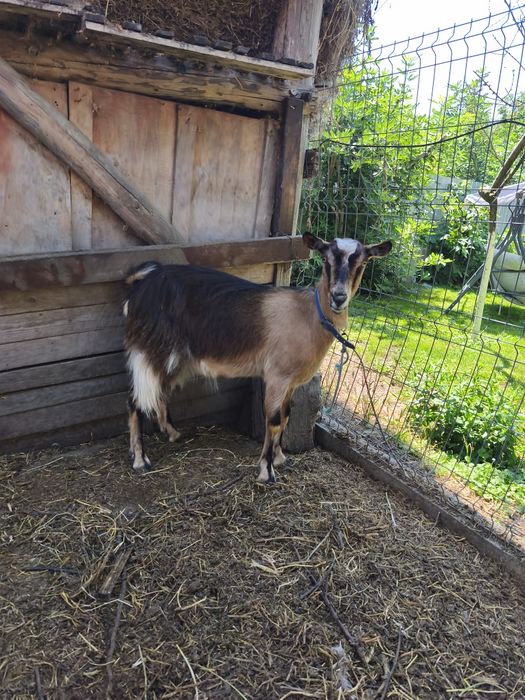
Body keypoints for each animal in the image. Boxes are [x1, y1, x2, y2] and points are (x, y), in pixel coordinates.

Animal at [123, 233, 392, 483]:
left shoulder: (291, 382)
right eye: (325, 259)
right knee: (135, 399)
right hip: (152, 349)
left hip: (173, 358)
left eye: (363, 263)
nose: (338, 297)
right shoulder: (277, 376)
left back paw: (171, 433)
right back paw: (140, 459)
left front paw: (280, 456)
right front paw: (267, 470)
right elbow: (273, 420)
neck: (309, 316)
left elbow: (286, 415)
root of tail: (141, 282)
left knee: (158, 392)